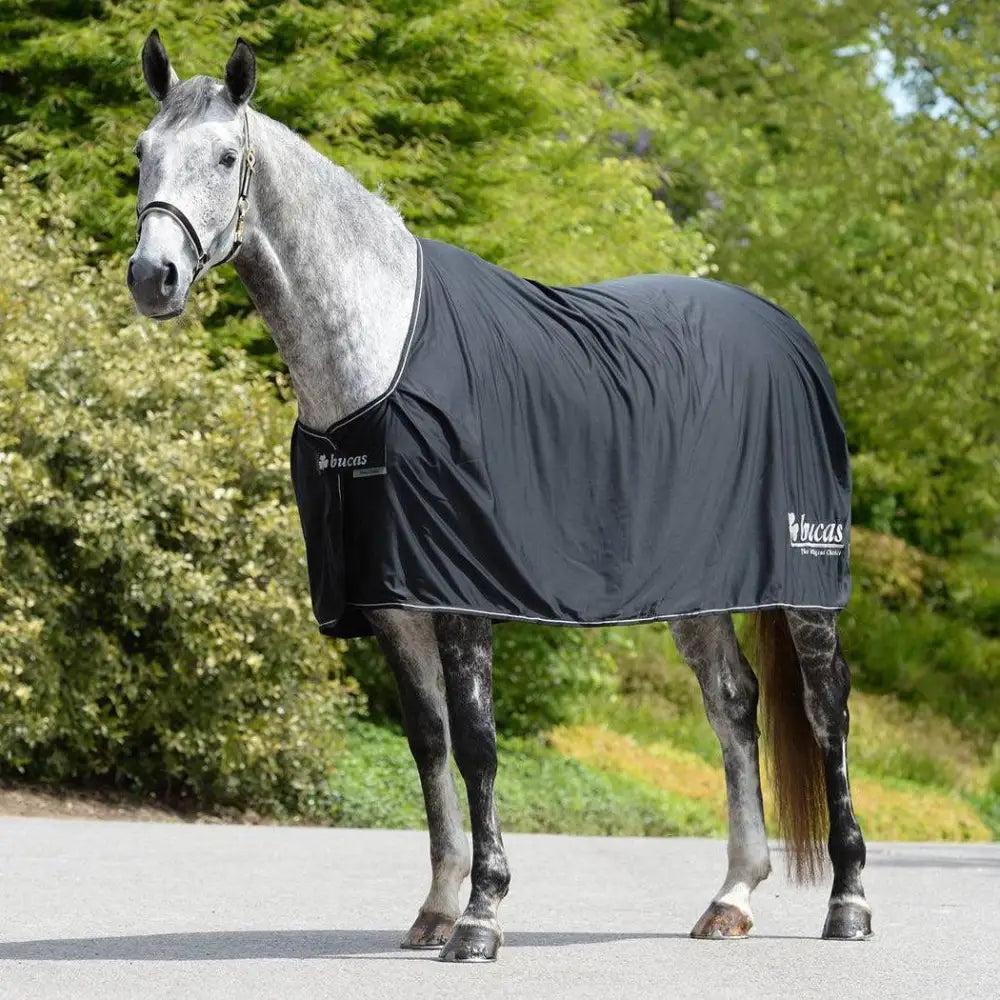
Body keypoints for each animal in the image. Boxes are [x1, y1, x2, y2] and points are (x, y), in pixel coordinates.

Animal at [126, 32, 872, 962]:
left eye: (228, 157)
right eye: (142, 154)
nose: (152, 277)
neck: (382, 352)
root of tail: (787, 335)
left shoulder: (460, 596)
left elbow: (478, 744)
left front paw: (481, 916)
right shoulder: (391, 599)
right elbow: (429, 744)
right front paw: (436, 908)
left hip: (806, 587)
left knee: (825, 711)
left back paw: (847, 903)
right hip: (696, 594)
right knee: (733, 706)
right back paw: (732, 897)